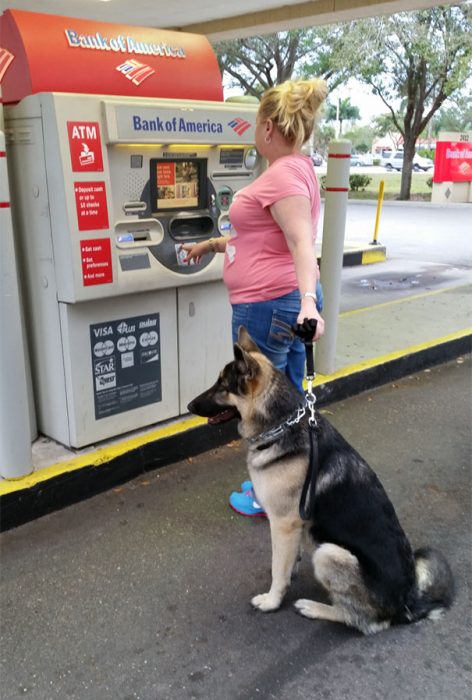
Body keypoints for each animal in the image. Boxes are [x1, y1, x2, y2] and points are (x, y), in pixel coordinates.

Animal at [187, 328, 454, 636]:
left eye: (221, 385)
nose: (189, 406)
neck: (282, 425)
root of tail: (406, 604)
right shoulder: (295, 526)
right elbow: (287, 560)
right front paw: (290, 570)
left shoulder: (283, 524)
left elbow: (278, 570)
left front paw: (272, 600)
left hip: (329, 553)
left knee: (363, 621)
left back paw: (314, 608)